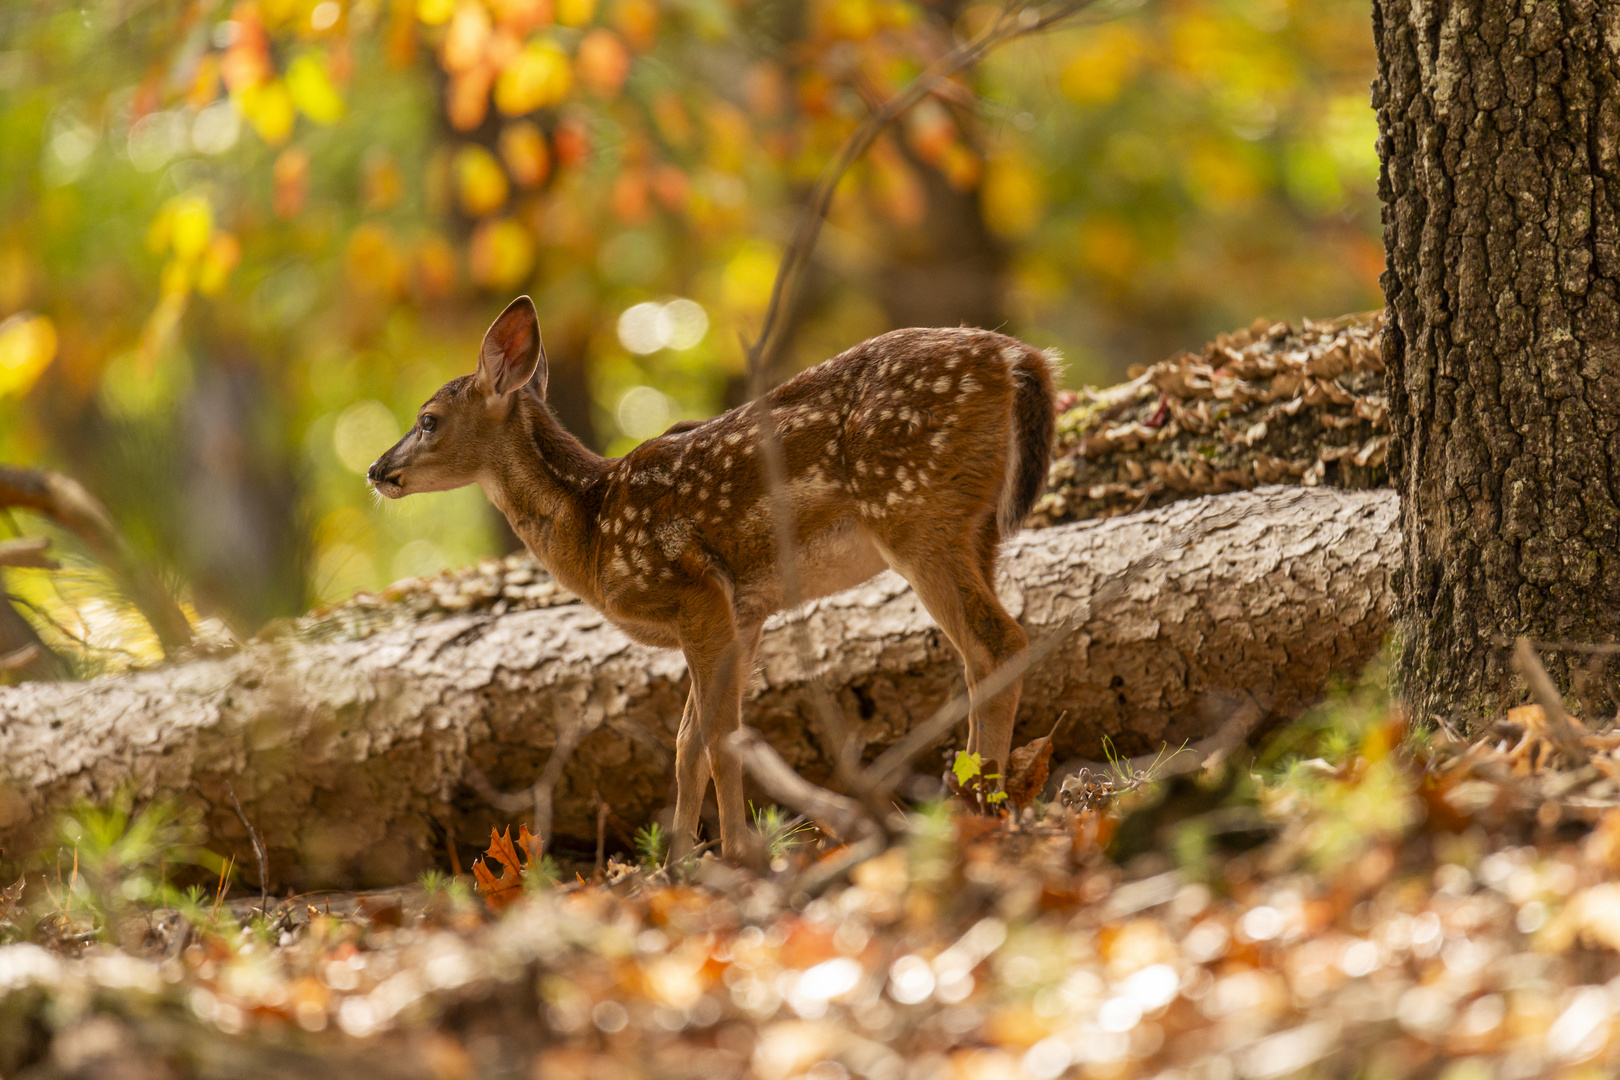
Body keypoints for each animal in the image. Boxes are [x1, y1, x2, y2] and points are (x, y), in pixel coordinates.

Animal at [375, 293, 1062, 861]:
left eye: (428, 418)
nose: (376, 471)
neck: (593, 528)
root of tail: (1020, 357)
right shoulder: (745, 609)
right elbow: (689, 744)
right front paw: (678, 862)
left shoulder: (693, 589)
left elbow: (717, 736)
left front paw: (733, 855)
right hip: (977, 527)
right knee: (981, 655)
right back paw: (973, 800)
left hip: (915, 512)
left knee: (997, 642)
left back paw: (982, 809)